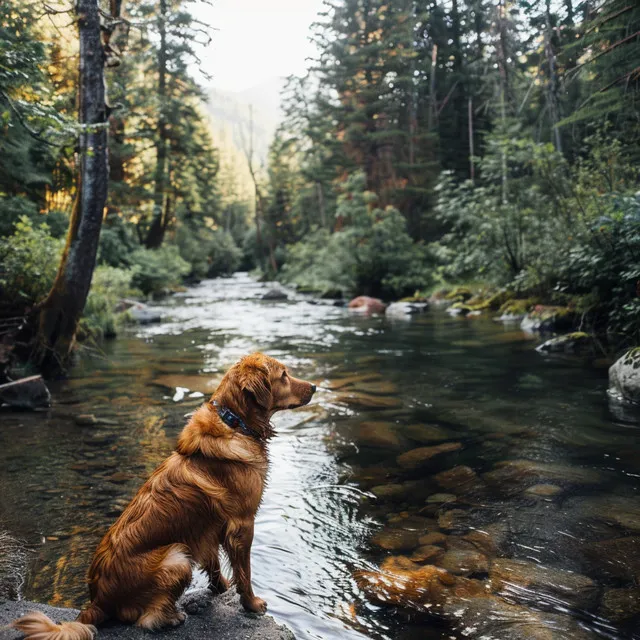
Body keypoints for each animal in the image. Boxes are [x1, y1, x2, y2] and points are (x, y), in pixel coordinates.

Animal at [11, 352, 316, 636]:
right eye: (284, 375)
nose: (314, 386)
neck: (234, 423)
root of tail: (97, 601)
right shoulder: (243, 523)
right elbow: (245, 572)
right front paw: (251, 604)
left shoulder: (207, 527)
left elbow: (214, 563)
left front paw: (220, 588)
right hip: (177, 558)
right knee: (145, 620)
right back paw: (171, 617)